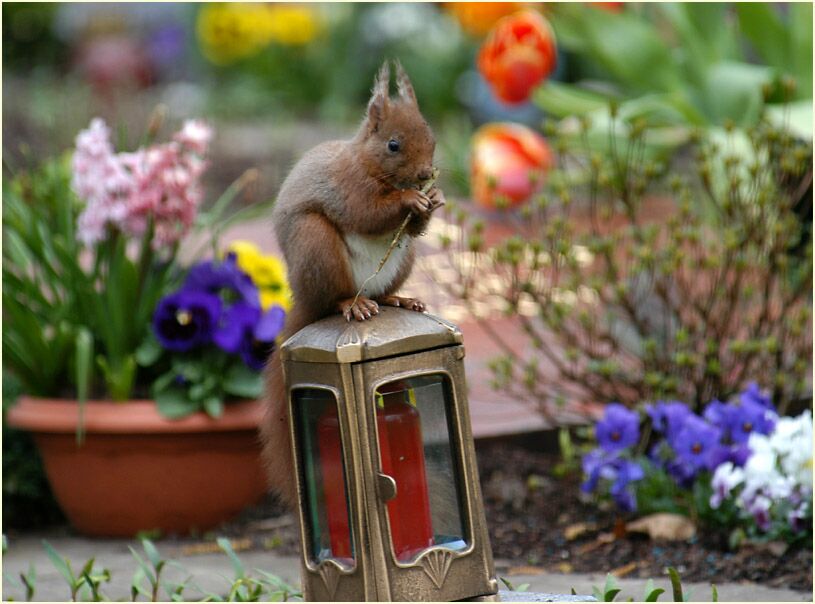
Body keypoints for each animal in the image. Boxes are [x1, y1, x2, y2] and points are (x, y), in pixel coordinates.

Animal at [262, 60, 446, 504]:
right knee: (336, 298)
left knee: (386, 288)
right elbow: (367, 212)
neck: (369, 164)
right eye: (393, 145)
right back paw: (353, 304)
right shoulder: (348, 187)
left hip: (402, 261)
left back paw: (400, 300)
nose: (425, 174)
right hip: (317, 245)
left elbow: (412, 227)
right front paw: (411, 200)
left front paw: (433, 200)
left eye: (430, 136)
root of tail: (305, 298)